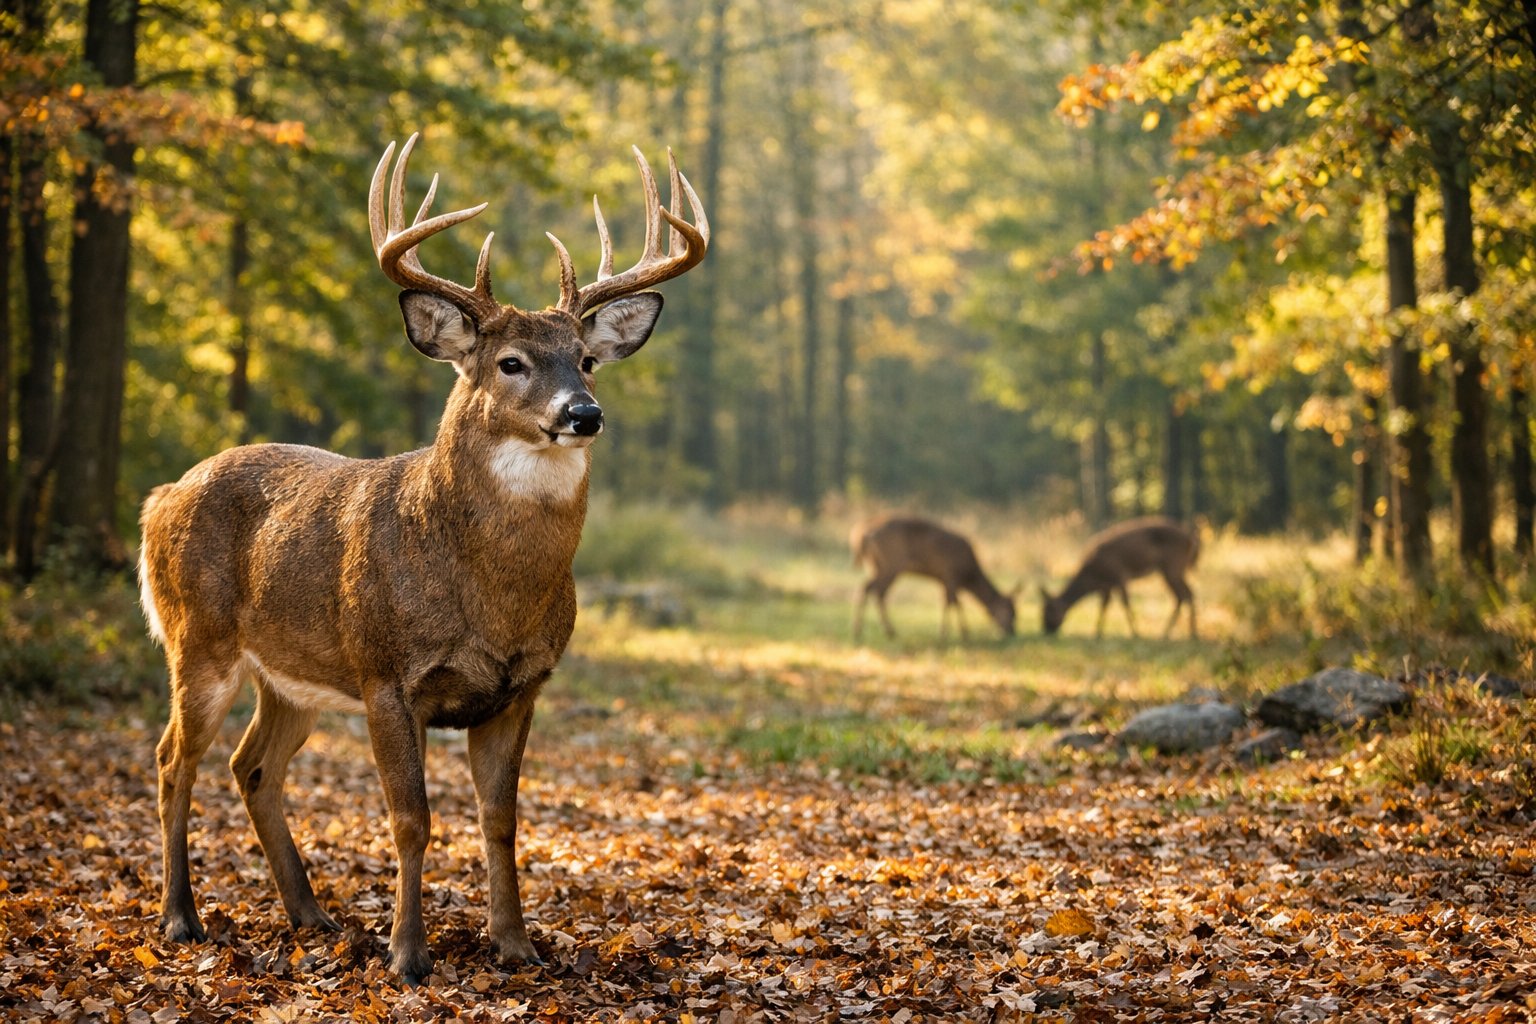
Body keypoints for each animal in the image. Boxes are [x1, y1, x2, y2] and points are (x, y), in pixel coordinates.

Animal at [137, 133, 708, 983]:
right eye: (511, 362)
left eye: (586, 358)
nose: (584, 413)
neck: (489, 594)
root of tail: (158, 497)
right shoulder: (385, 672)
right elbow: (411, 818)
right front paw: (409, 954)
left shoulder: (521, 686)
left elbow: (500, 819)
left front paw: (516, 944)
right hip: (196, 638)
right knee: (176, 758)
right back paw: (181, 918)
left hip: (292, 673)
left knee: (252, 766)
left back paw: (312, 915)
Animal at [851, 515, 1018, 642]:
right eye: (1011, 612)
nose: (1012, 632)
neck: (968, 575)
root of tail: (862, 536)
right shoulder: (951, 574)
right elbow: (954, 603)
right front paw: (959, 634)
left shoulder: (943, 579)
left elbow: (948, 602)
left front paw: (950, 633)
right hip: (891, 563)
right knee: (874, 590)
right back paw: (880, 631)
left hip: (875, 565)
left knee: (870, 589)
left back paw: (870, 631)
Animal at [1039, 517, 1199, 640]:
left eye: (1048, 611)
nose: (1046, 630)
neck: (1092, 577)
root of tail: (1191, 540)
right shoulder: (1106, 585)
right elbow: (1103, 606)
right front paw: (1097, 633)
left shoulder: (1119, 576)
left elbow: (1125, 604)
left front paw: (1136, 634)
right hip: (1174, 569)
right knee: (1186, 594)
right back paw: (1189, 633)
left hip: (1172, 566)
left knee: (1183, 595)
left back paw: (1172, 633)